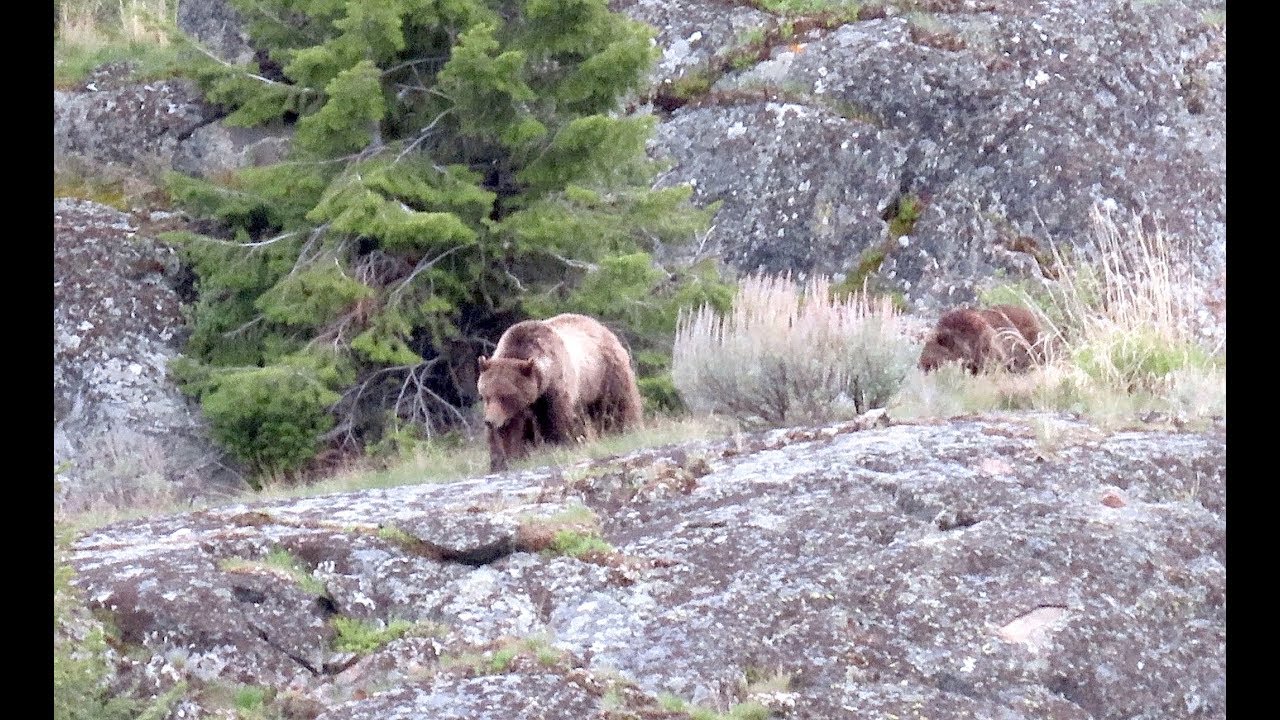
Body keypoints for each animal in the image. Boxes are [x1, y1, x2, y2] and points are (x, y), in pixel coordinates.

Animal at [477, 313, 644, 472]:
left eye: (505, 396)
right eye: (486, 395)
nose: (489, 421)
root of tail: (602, 327)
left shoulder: (555, 388)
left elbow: (557, 421)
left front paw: (559, 447)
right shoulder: (514, 410)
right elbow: (506, 434)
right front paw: (502, 461)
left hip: (606, 375)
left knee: (620, 405)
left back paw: (629, 430)